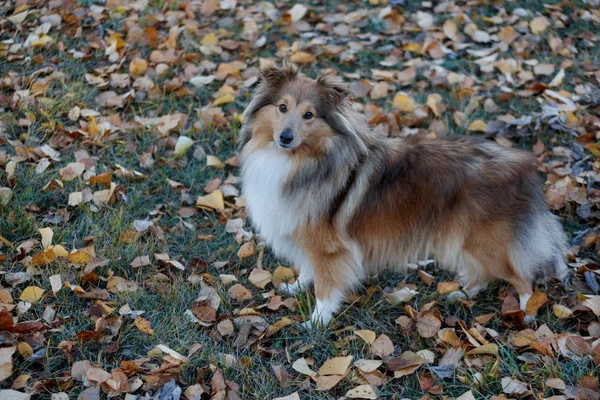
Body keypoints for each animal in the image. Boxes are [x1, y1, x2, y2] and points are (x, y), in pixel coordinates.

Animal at [238, 63, 568, 328]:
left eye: (309, 115)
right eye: (282, 107)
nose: (285, 137)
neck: (302, 159)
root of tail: (521, 165)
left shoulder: (327, 248)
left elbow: (325, 287)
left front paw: (316, 322)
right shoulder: (305, 234)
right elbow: (308, 269)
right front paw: (294, 288)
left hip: (486, 242)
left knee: (522, 279)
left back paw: (527, 314)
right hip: (466, 240)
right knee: (483, 273)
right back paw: (461, 293)